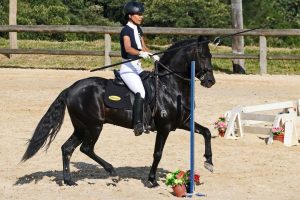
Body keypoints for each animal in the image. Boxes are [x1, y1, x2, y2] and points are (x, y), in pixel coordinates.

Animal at [21, 36, 214, 188]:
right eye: (203, 56)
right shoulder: (164, 127)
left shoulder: (182, 123)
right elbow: (158, 153)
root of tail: (70, 89)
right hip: (94, 126)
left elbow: (206, 132)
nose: (210, 81)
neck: (171, 86)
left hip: (81, 127)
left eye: (211, 56)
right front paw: (152, 180)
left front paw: (209, 162)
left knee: (67, 148)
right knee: (86, 148)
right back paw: (110, 169)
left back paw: (69, 181)